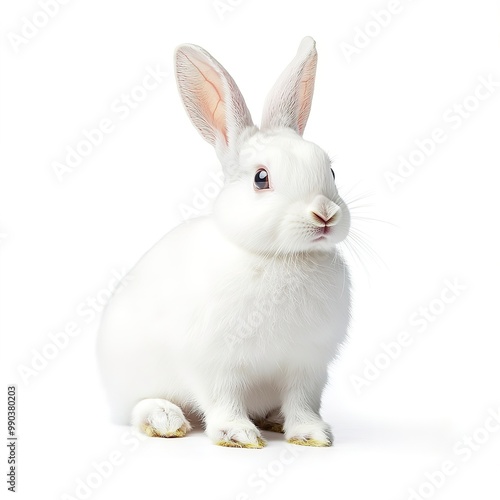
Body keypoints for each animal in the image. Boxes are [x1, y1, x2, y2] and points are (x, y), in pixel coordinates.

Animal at [95, 37, 350, 448]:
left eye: (330, 171)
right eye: (261, 178)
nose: (324, 214)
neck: (282, 257)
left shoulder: (307, 366)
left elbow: (302, 403)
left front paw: (311, 435)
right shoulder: (215, 363)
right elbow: (223, 398)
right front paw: (239, 435)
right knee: (138, 408)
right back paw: (165, 419)